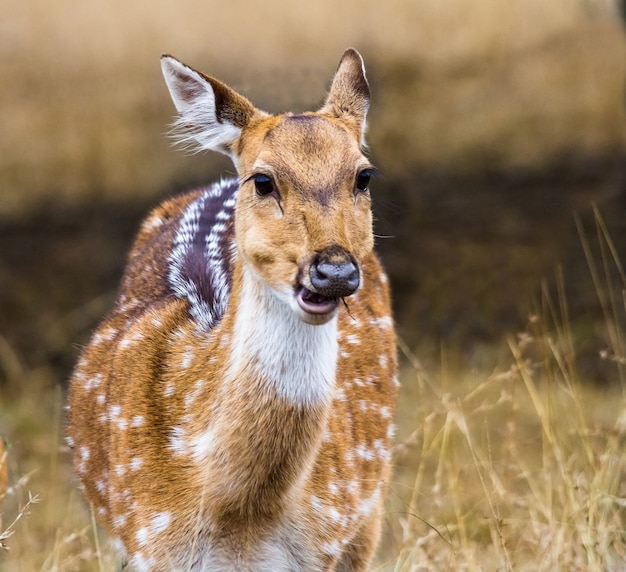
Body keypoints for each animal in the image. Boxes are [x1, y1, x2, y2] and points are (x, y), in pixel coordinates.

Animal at [66, 49, 398, 572]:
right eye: (263, 180)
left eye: (363, 176)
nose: (334, 272)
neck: (241, 515)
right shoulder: (148, 538)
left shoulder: (327, 536)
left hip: (369, 510)